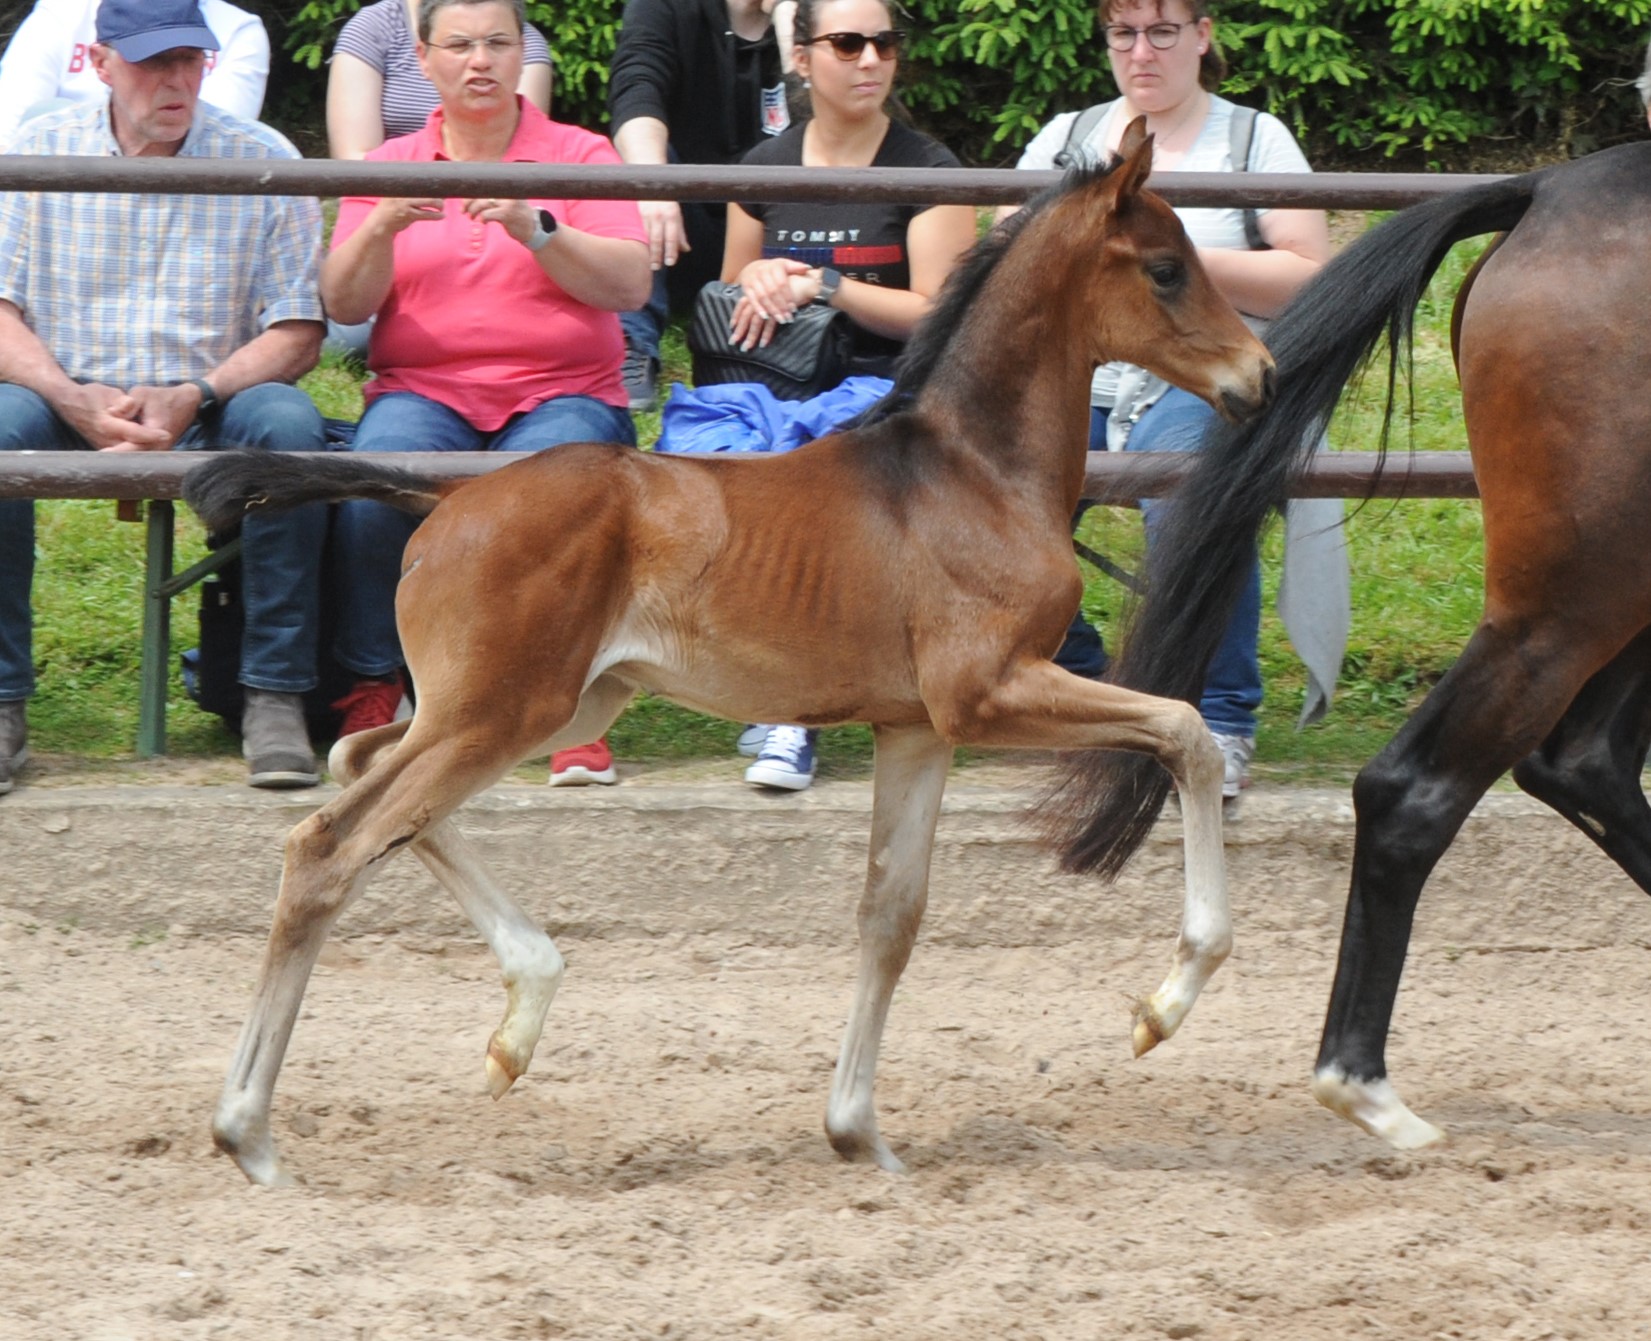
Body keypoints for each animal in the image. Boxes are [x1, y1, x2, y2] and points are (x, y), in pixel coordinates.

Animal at [184, 125, 1274, 1189]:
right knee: (331, 844)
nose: (1258, 377)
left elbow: (892, 913)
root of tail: (446, 496)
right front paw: (1162, 1007)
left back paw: (521, 1012)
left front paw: (858, 1134)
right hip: (502, 712)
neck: (972, 474)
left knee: (359, 764)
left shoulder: (915, 728)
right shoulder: (987, 695)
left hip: (548, 707)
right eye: (1167, 269)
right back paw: (248, 1132)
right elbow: (1185, 732)